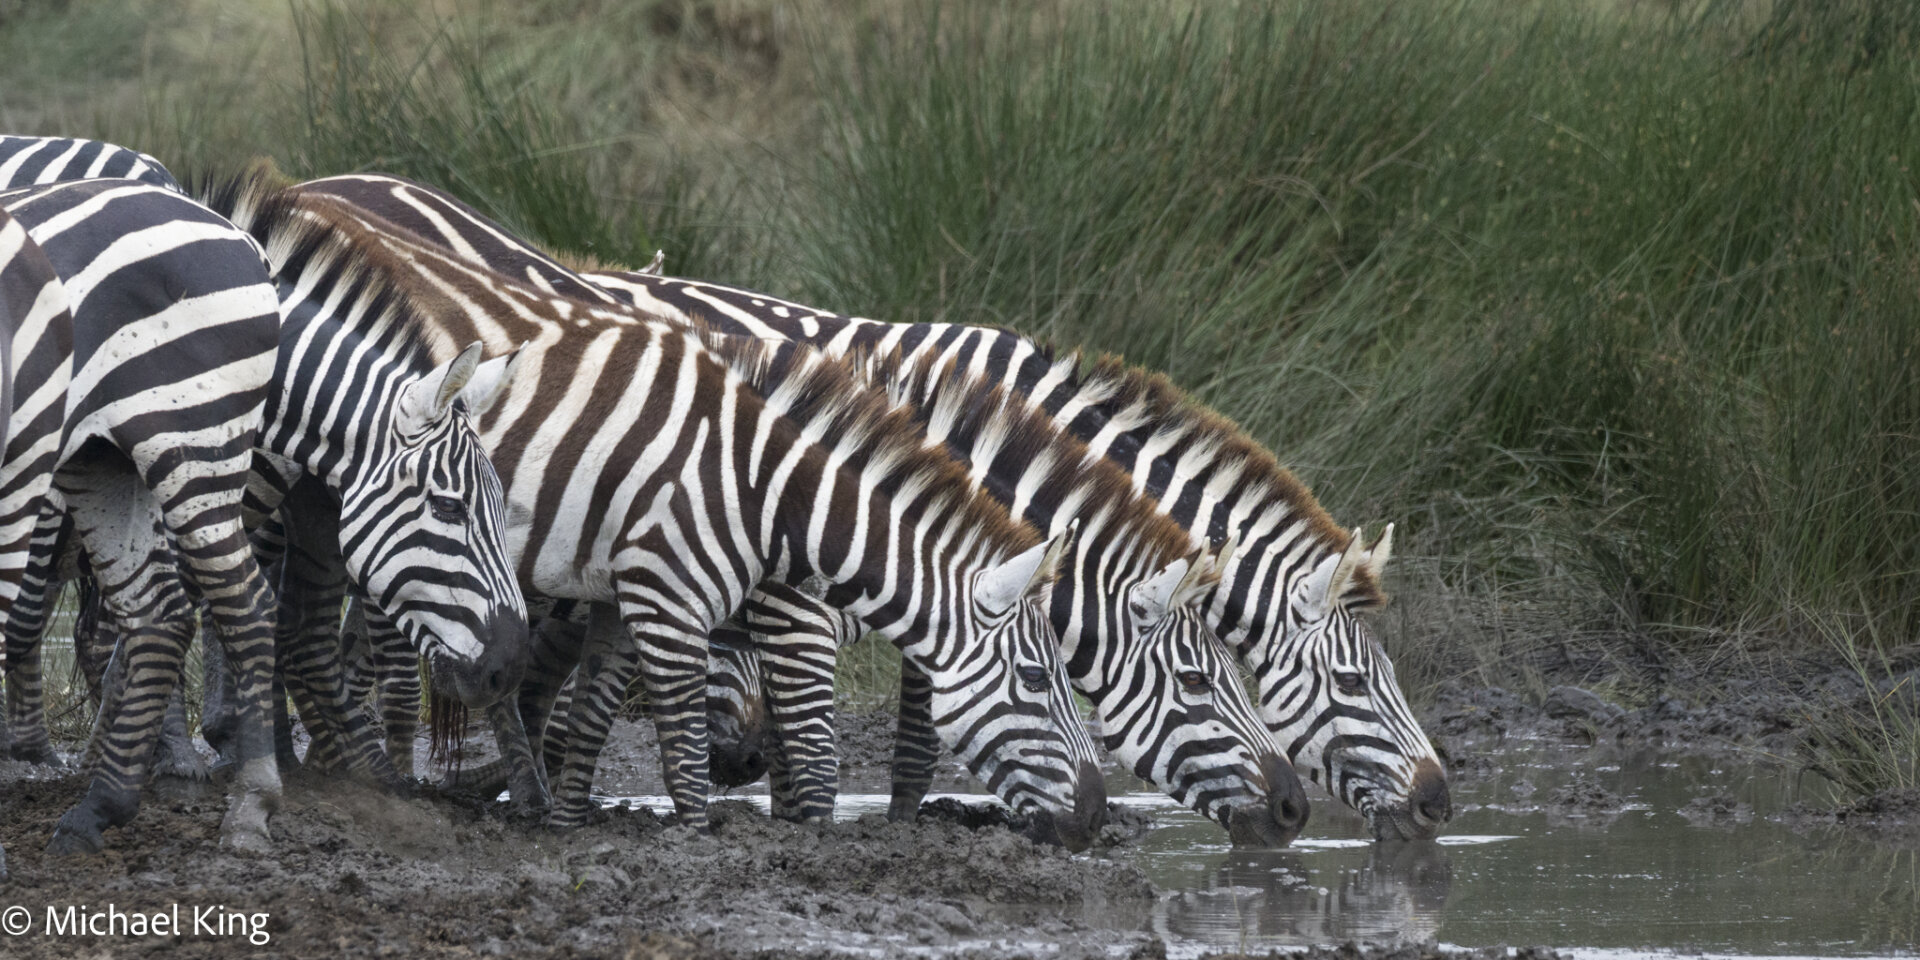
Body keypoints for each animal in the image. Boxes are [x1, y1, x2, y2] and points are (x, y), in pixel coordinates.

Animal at [209, 176, 1105, 846]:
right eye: (1038, 679)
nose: (1099, 815)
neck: (766, 487)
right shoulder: (689, 605)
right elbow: (713, 746)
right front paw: (724, 836)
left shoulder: (617, 595)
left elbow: (593, 711)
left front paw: (568, 821)